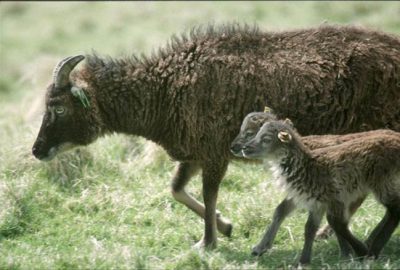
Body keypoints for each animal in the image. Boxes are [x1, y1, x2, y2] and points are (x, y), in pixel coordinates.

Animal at [32, 23, 400, 249]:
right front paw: (225, 226)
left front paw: (208, 242)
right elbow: (177, 189)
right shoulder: (195, 152)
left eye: (58, 107)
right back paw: (332, 233)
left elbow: (208, 194)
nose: (37, 150)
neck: (165, 90)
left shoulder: (214, 152)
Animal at [241, 120, 400, 264]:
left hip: (382, 181)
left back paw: (374, 249)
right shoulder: (316, 202)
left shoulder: (334, 197)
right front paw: (304, 261)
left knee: (395, 210)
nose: (245, 148)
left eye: (266, 139)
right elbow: (309, 228)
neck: (308, 165)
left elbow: (337, 223)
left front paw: (357, 252)